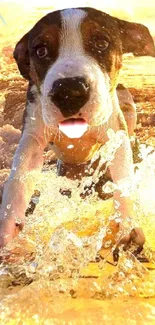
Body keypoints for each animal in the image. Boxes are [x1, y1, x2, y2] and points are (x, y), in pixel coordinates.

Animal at [0, 6, 154, 251]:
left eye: (101, 43)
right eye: (41, 50)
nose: (69, 91)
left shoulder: (116, 135)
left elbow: (123, 179)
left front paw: (126, 224)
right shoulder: (32, 137)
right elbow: (18, 180)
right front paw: (7, 229)